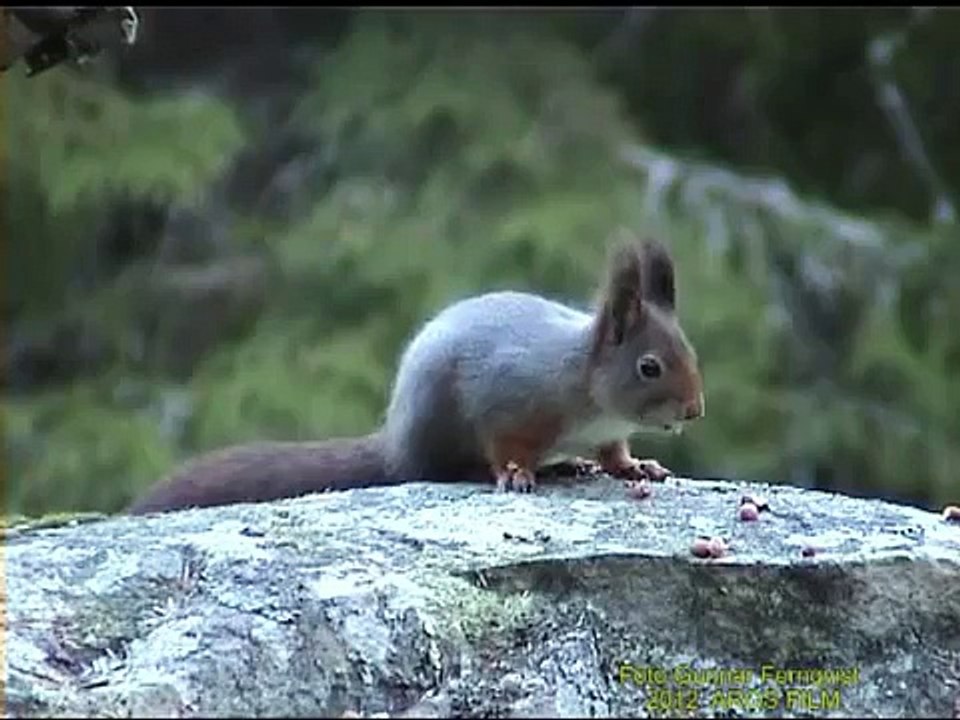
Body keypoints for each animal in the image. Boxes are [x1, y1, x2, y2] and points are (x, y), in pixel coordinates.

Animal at [126, 230, 705, 515]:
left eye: (690, 351)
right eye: (649, 367)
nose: (695, 411)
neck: (586, 388)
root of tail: (395, 442)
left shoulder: (608, 433)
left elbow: (614, 455)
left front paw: (637, 466)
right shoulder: (509, 398)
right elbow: (506, 445)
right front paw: (516, 474)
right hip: (438, 423)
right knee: (436, 469)